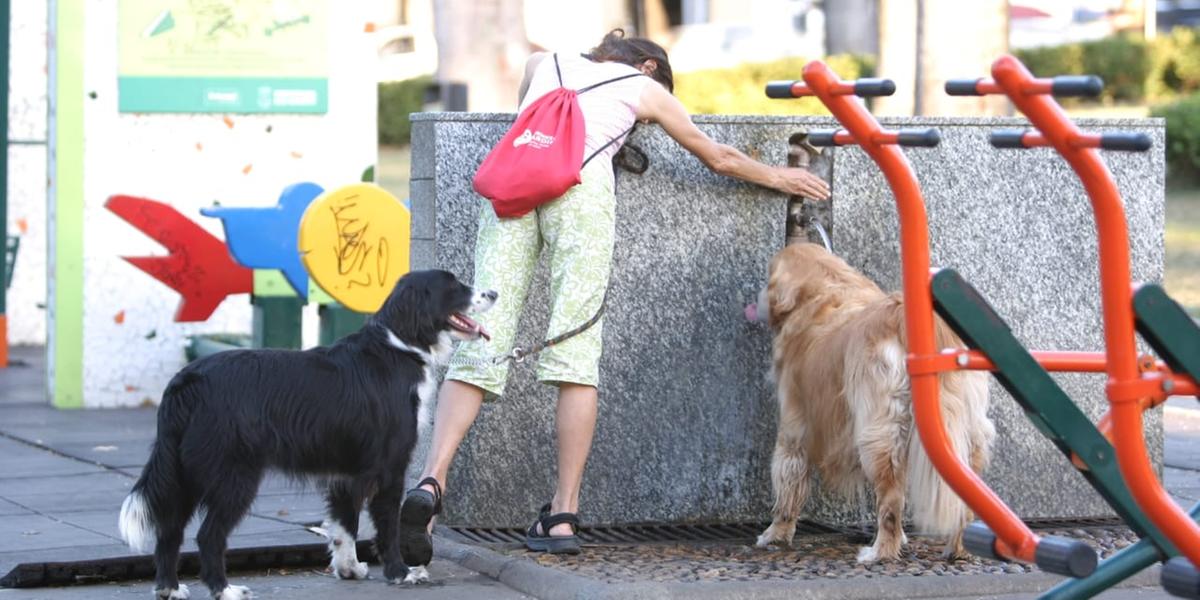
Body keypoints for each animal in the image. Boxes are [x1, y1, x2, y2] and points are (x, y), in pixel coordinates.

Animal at [119, 272, 494, 600]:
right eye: (453, 285)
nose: (493, 293)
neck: (399, 346)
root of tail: (188, 380)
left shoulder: (348, 471)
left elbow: (344, 524)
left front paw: (350, 569)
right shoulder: (390, 467)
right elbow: (387, 525)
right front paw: (401, 573)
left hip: (184, 473)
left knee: (169, 531)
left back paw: (169, 589)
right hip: (233, 476)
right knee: (208, 536)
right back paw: (225, 591)